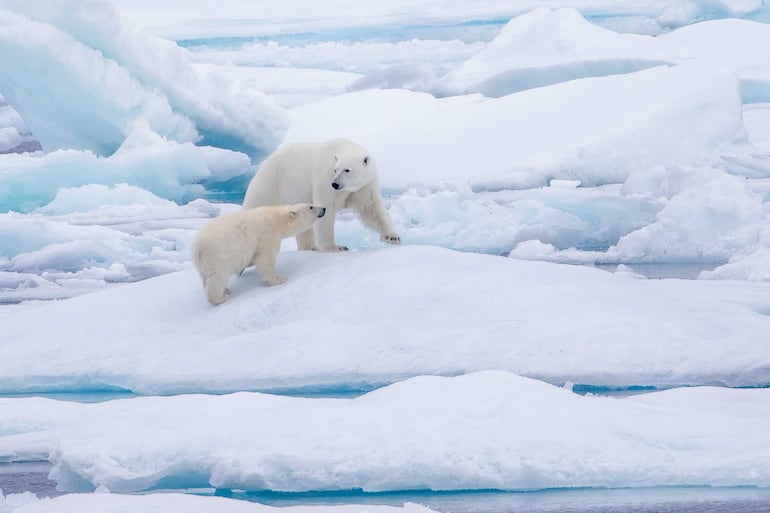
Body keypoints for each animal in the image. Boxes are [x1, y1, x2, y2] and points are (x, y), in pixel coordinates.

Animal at [243, 137, 400, 251]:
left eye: (347, 170)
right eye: (336, 170)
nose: (335, 184)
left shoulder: (363, 186)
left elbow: (371, 208)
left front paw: (392, 237)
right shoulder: (324, 177)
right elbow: (326, 207)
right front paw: (336, 247)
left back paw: (310, 247)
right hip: (270, 185)